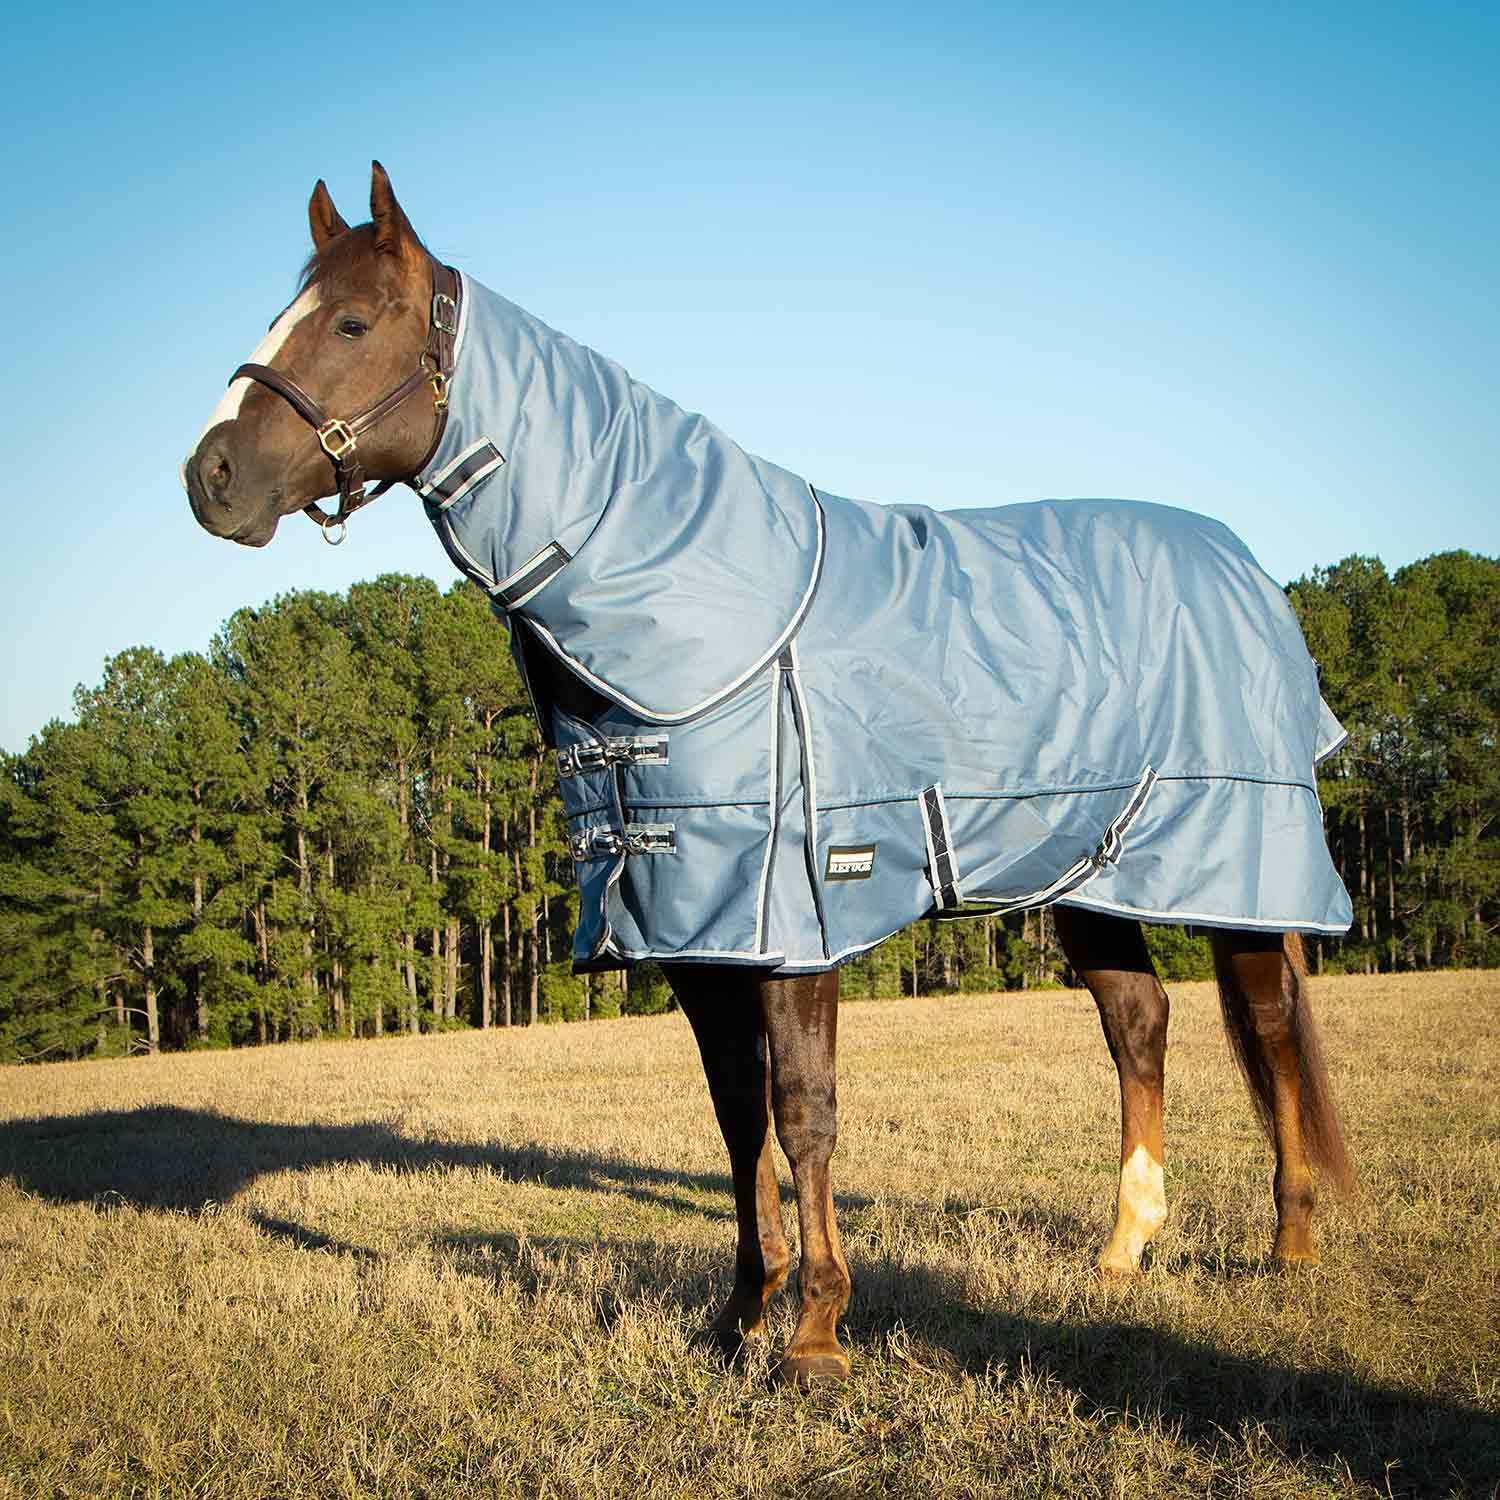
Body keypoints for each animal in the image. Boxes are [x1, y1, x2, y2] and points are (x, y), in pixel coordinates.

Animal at [184, 162, 1354, 1387]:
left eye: (353, 322)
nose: (210, 477)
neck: (707, 609)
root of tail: (1246, 569)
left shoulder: (793, 913)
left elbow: (803, 1110)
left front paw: (816, 1333)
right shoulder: (695, 930)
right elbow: (736, 1115)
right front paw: (741, 1313)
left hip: (1236, 864)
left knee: (1270, 1028)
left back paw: (1292, 1248)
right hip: (1086, 872)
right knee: (1139, 1024)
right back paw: (1123, 1253)